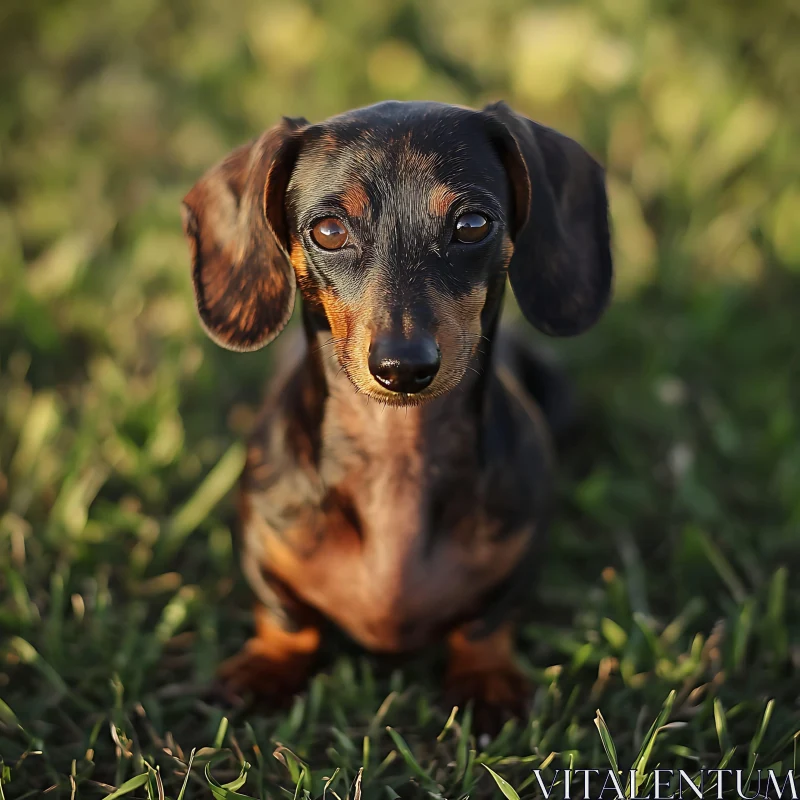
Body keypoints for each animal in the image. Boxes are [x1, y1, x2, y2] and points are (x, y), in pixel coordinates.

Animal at [183, 100, 612, 732]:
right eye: (329, 230)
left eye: (473, 224)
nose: (403, 368)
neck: (395, 450)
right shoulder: (262, 542)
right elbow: (286, 614)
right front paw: (267, 667)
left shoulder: (520, 545)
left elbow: (486, 621)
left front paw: (486, 679)